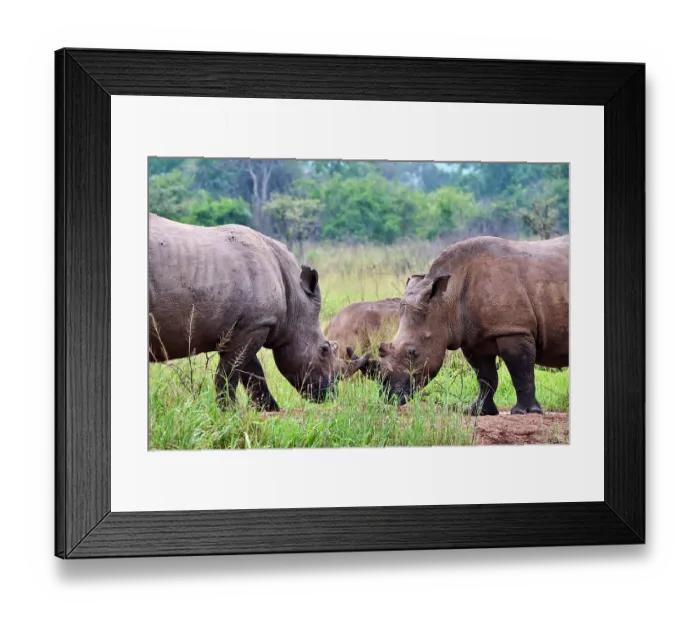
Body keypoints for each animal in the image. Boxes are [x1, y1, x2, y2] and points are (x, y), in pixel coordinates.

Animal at [148, 213, 369, 411]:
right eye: (324, 350)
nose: (330, 394)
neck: (295, 300)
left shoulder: (248, 325)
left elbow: (251, 372)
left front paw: (270, 410)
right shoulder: (255, 324)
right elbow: (231, 371)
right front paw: (228, 411)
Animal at [366, 235, 569, 414]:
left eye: (412, 353)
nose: (388, 395)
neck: (446, 302)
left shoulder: (513, 329)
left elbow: (521, 372)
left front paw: (525, 412)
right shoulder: (473, 337)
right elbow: (485, 376)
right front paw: (478, 411)